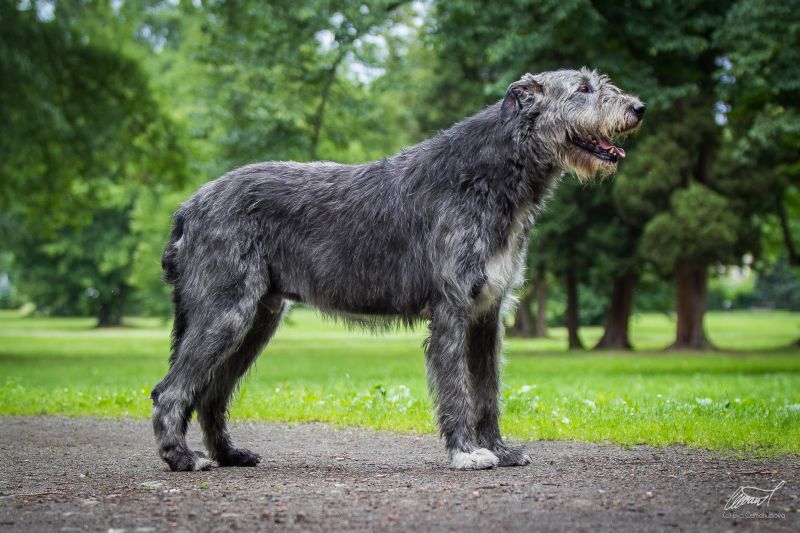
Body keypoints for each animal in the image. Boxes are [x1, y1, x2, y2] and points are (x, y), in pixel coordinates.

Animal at [152, 66, 644, 470]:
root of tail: (188, 208)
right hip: (225, 311)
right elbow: (457, 389)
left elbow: (487, 390)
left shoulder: (487, 314)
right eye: (583, 89)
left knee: (211, 393)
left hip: (258, 319)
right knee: (170, 390)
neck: (491, 173)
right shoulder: (451, 309)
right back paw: (181, 458)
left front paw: (500, 450)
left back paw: (228, 454)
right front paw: (466, 453)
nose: (638, 108)